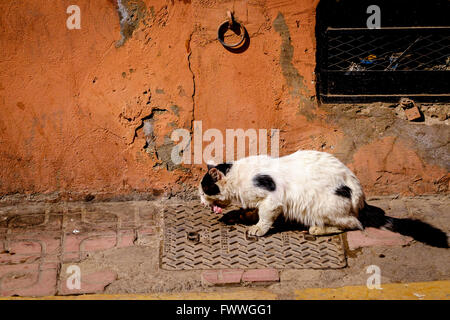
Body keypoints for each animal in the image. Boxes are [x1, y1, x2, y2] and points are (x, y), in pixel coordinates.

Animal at [199, 149, 368, 235]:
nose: (201, 201)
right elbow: (254, 211)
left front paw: (258, 228)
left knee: (354, 224)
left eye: (204, 191)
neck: (237, 176)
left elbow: (265, 216)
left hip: (323, 208)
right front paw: (242, 216)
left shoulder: (273, 200)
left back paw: (318, 229)